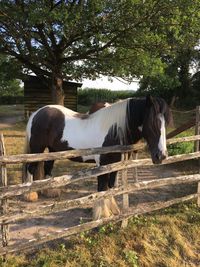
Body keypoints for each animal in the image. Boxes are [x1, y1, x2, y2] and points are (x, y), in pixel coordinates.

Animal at [23, 96, 170, 220]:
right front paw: (103, 214)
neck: (113, 130)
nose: (161, 156)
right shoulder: (102, 165)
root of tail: (36, 113)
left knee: (48, 167)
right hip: (36, 149)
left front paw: (113, 210)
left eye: (165, 124)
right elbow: (102, 188)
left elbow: (110, 186)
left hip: (52, 150)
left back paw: (50, 192)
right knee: (31, 169)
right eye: (152, 122)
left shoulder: (115, 164)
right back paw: (30, 195)